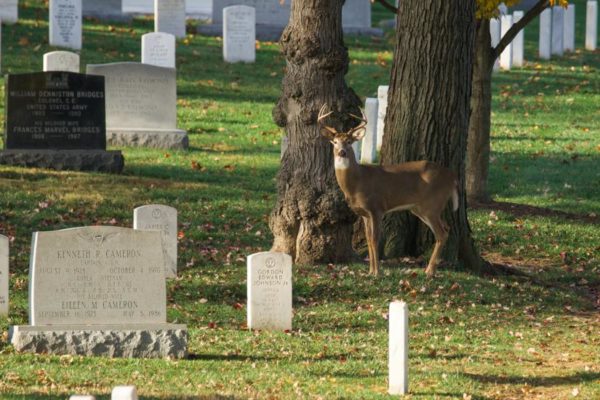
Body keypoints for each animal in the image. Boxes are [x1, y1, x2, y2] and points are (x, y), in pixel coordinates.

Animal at [318, 104, 460, 276]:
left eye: (350, 141)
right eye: (334, 142)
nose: (342, 152)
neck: (357, 182)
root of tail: (452, 177)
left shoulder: (376, 207)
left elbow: (374, 239)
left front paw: (377, 272)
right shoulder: (364, 213)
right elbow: (368, 239)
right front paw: (370, 271)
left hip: (432, 205)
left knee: (441, 233)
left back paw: (429, 272)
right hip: (420, 209)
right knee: (446, 228)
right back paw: (429, 269)